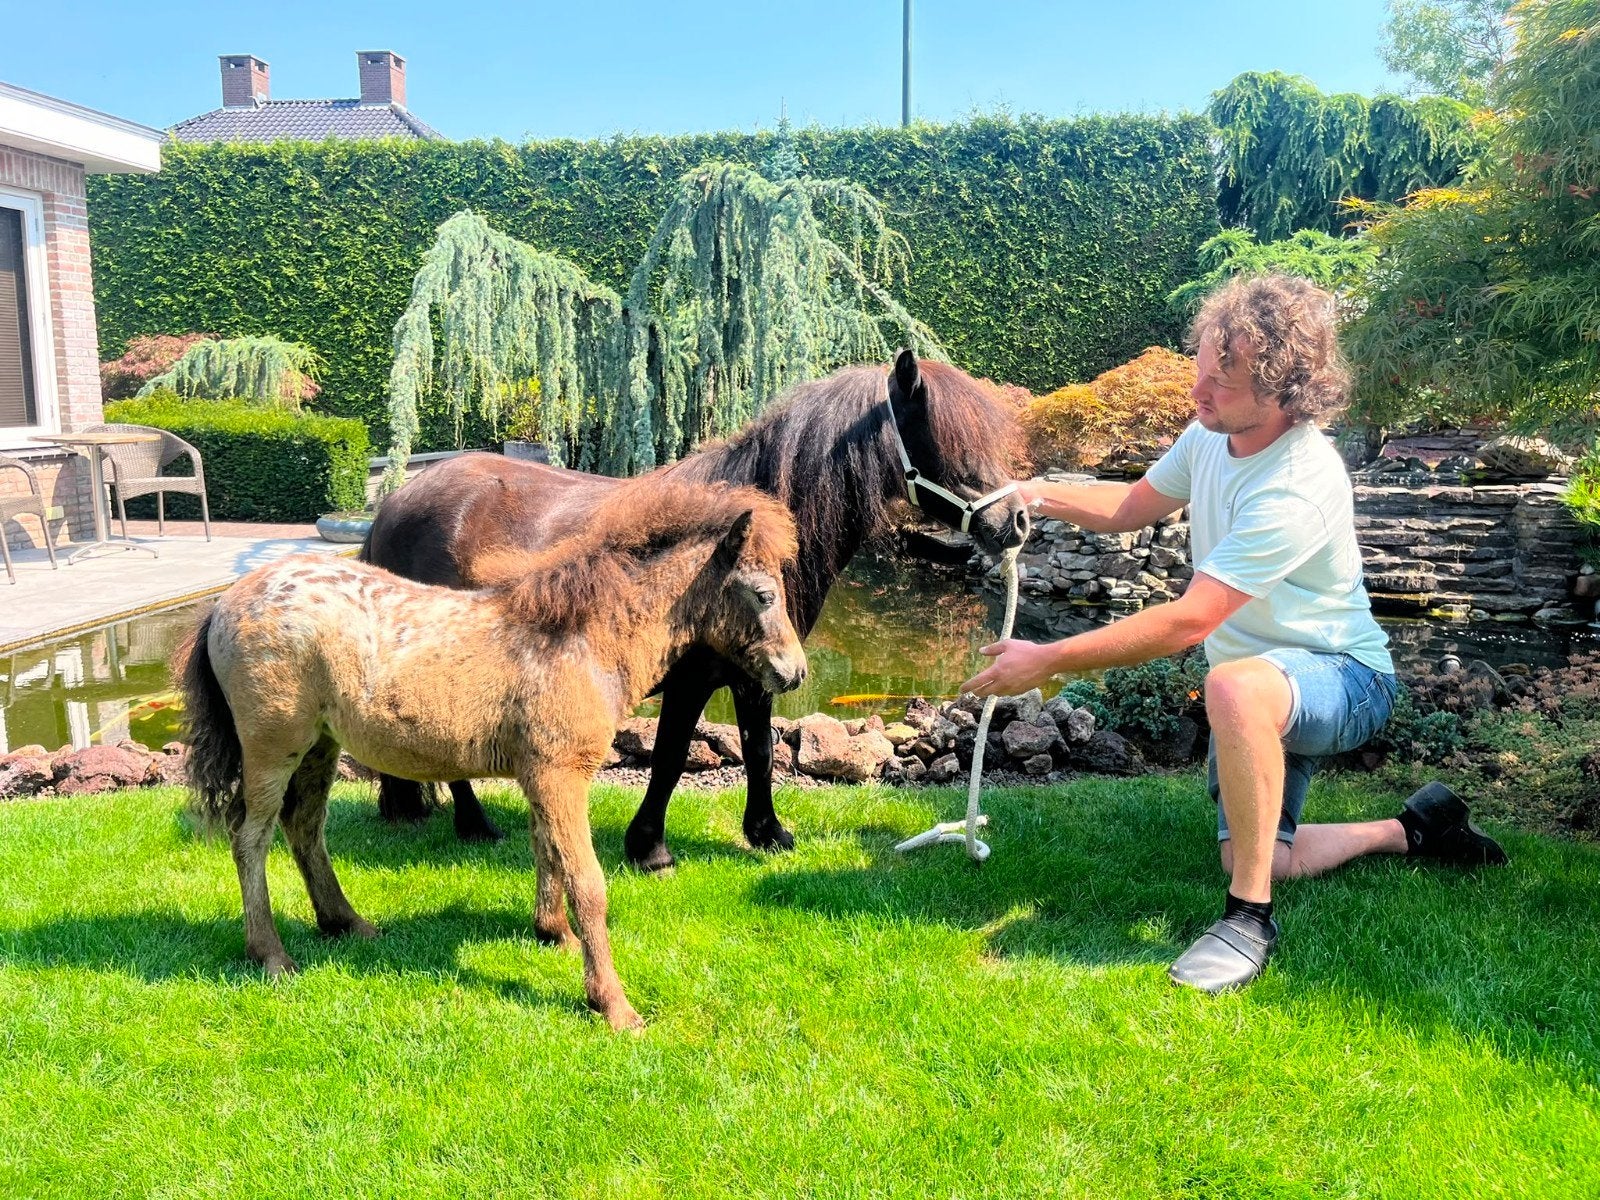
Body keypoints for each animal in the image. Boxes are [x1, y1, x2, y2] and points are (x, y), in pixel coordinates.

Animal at [175, 480, 805, 1031]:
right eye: (765, 594)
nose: (795, 673)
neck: (577, 638)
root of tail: (223, 603)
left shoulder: (541, 776)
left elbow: (547, 852)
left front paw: (552, 933)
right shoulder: (559, 775)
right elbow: (587, 883)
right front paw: (613, 1006)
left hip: (320, 747)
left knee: (304, 827)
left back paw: (346, 923)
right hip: (271, 747)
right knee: (251, 839)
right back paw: (271, 955)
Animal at [364, 348, 1031, 871]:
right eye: (946, 443)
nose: (1019, 521)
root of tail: (396, 502)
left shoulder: (758, 672)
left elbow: (759, 752)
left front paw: (768, 834)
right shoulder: (693, 679)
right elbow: (672, 755)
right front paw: (649, 849)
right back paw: (475, 825)